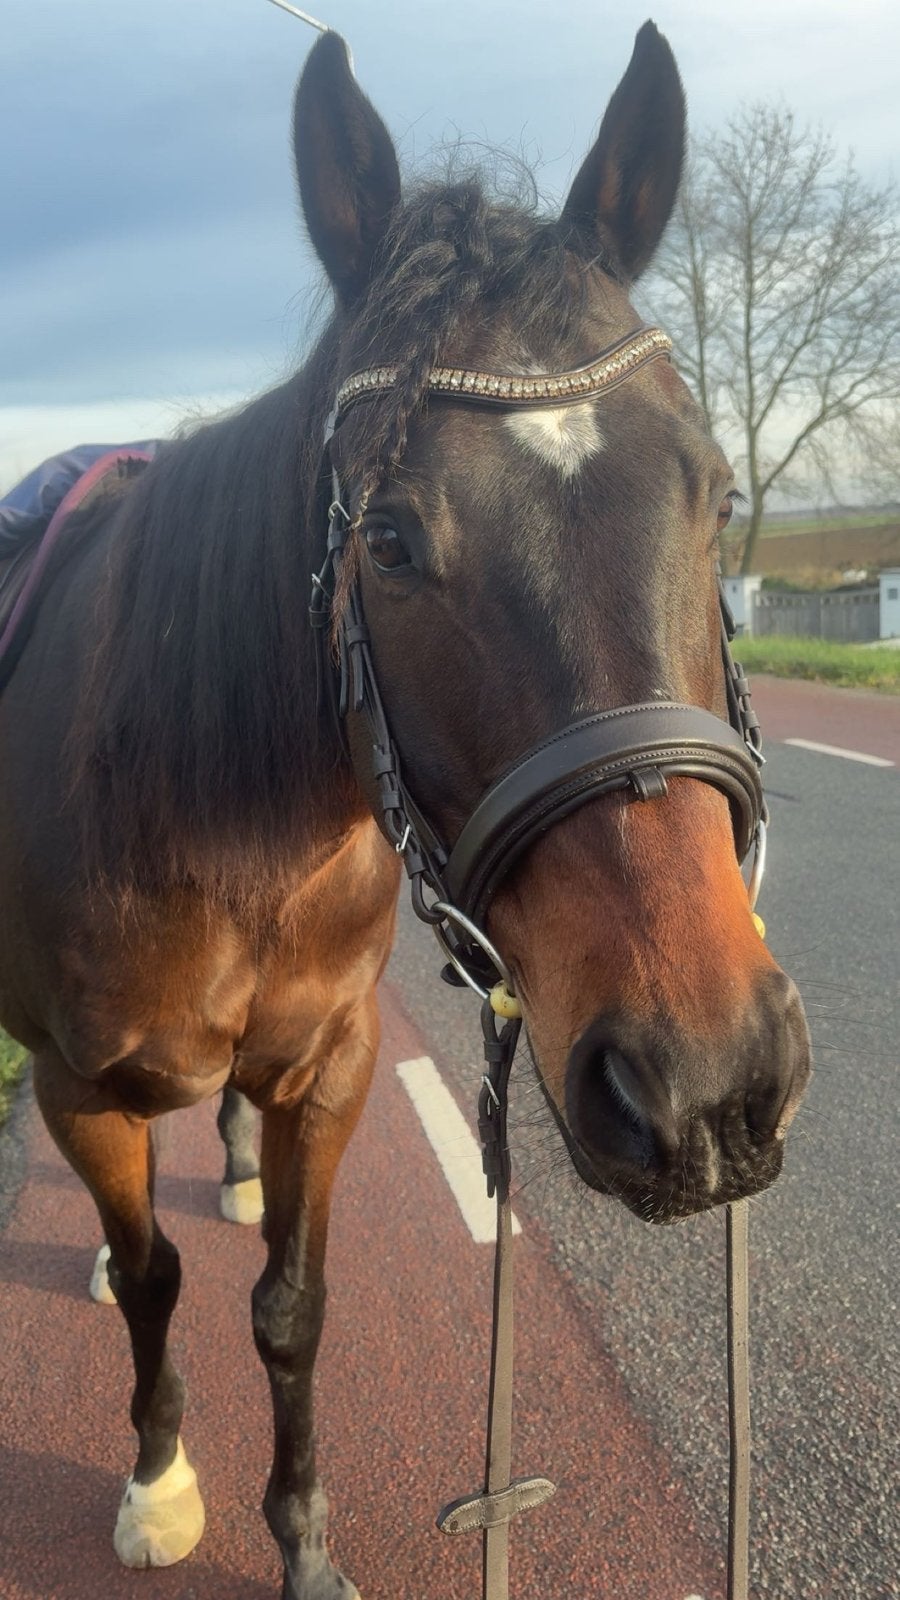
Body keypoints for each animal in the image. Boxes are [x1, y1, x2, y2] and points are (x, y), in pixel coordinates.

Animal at [0, 23, 812, 1600]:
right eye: (384, 537)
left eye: (716, 492)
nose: (704, 1082)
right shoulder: (78, 1084)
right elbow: (157, 1282)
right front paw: (161, 1479)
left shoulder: (333, 1065)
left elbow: (292, 1306)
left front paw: (303, 1537)